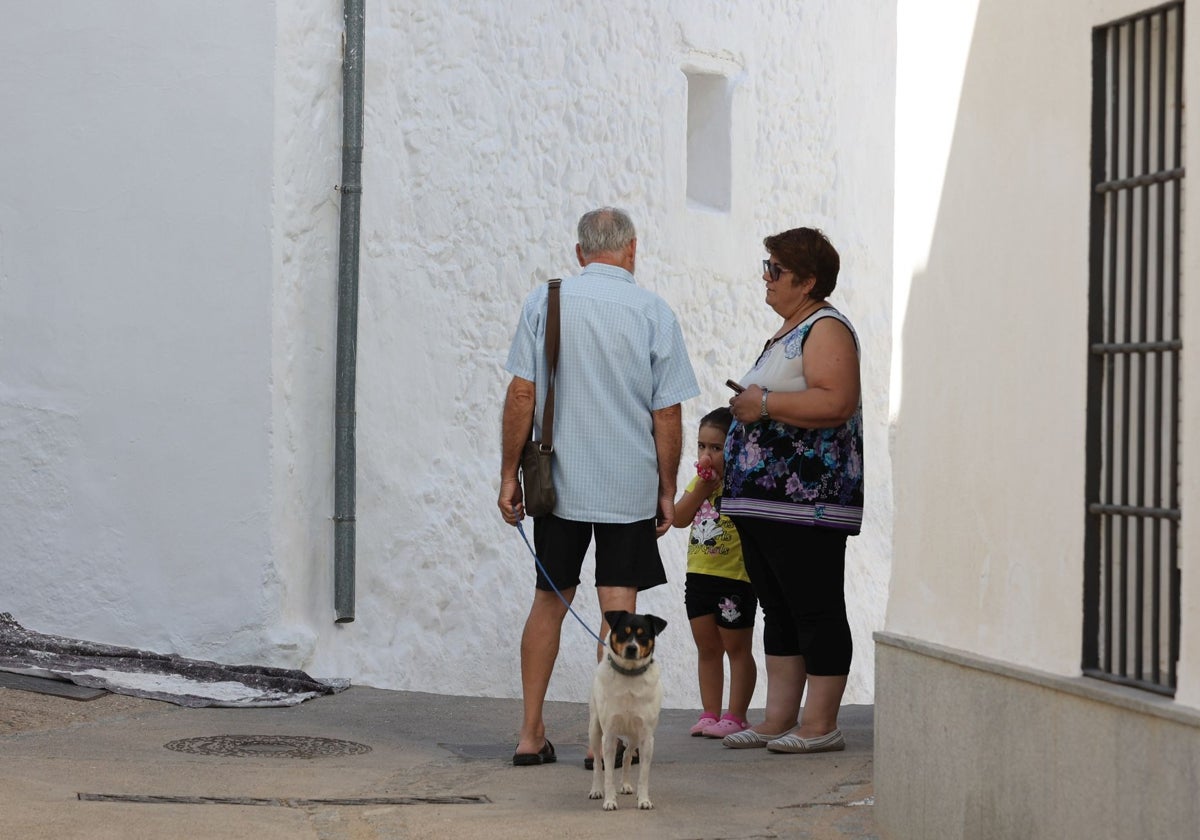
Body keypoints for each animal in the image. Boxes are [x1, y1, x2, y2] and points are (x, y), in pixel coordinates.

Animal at [588, 607, 672, 811]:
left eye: (643, 636)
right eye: (623, 633)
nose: (632, 648)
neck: (629, 675)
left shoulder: (646, 737)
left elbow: (643, 775)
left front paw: (644, 800)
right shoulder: (609, 736)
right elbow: (608, 773)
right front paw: (609, 800)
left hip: (634, 736)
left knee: (626, 755)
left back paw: (626, 785)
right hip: (594, 730)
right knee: (597, 763)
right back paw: (596, 790)